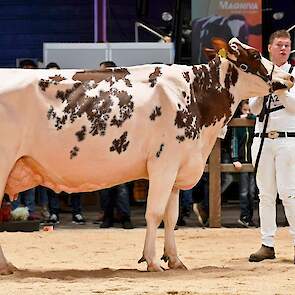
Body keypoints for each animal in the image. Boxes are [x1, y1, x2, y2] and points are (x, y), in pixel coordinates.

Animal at [0, 37, 292, 276]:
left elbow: (171, 217)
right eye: (255, 54)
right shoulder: (164, 164)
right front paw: (151, 261)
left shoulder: (177, 169)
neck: (194, 96)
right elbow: (154, 213)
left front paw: (174, 260)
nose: (289, 78)